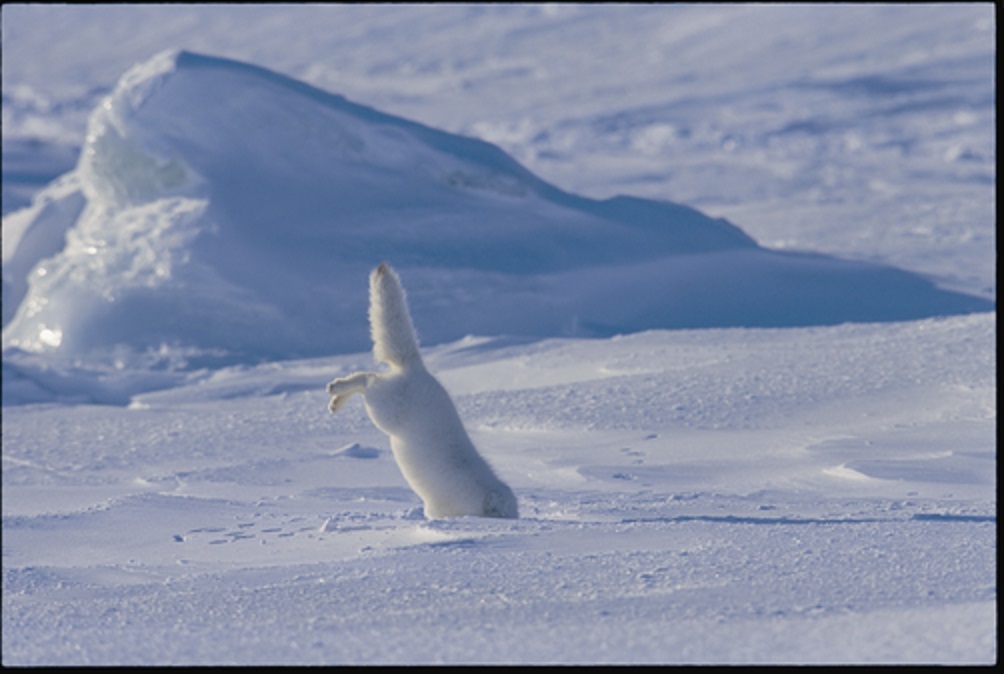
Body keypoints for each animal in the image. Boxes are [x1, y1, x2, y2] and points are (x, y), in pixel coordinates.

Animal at [327, 261, 518, 518]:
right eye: (506, 513)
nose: (515, 521)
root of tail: (416, 368)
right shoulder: (442, 509)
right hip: (383, 409)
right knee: (366, 378)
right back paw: (336, 388)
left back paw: (336, 402)